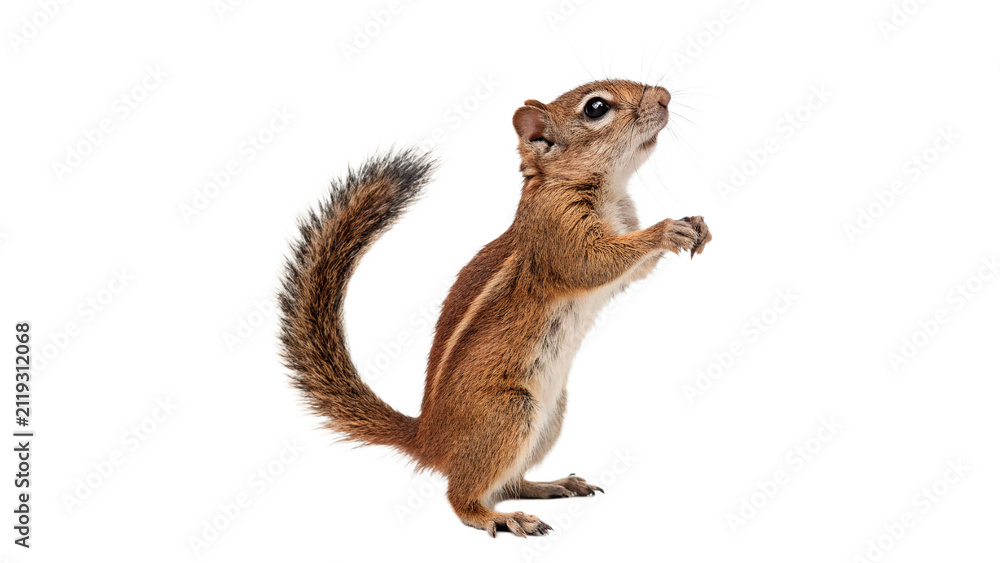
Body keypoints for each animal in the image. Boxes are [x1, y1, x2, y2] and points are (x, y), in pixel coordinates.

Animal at [278, 79, 712, 537]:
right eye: (596, 108)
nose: (664, 96)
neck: (605, 190)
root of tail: (427, 439)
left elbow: (634, 272)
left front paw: (696, 224)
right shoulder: (558, 232)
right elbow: (594, 263)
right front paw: (665, 229)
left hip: (549, 417)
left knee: (510, 483)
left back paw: (552, 485)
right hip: (508, 414)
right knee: (462, 497)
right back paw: (503, 518)